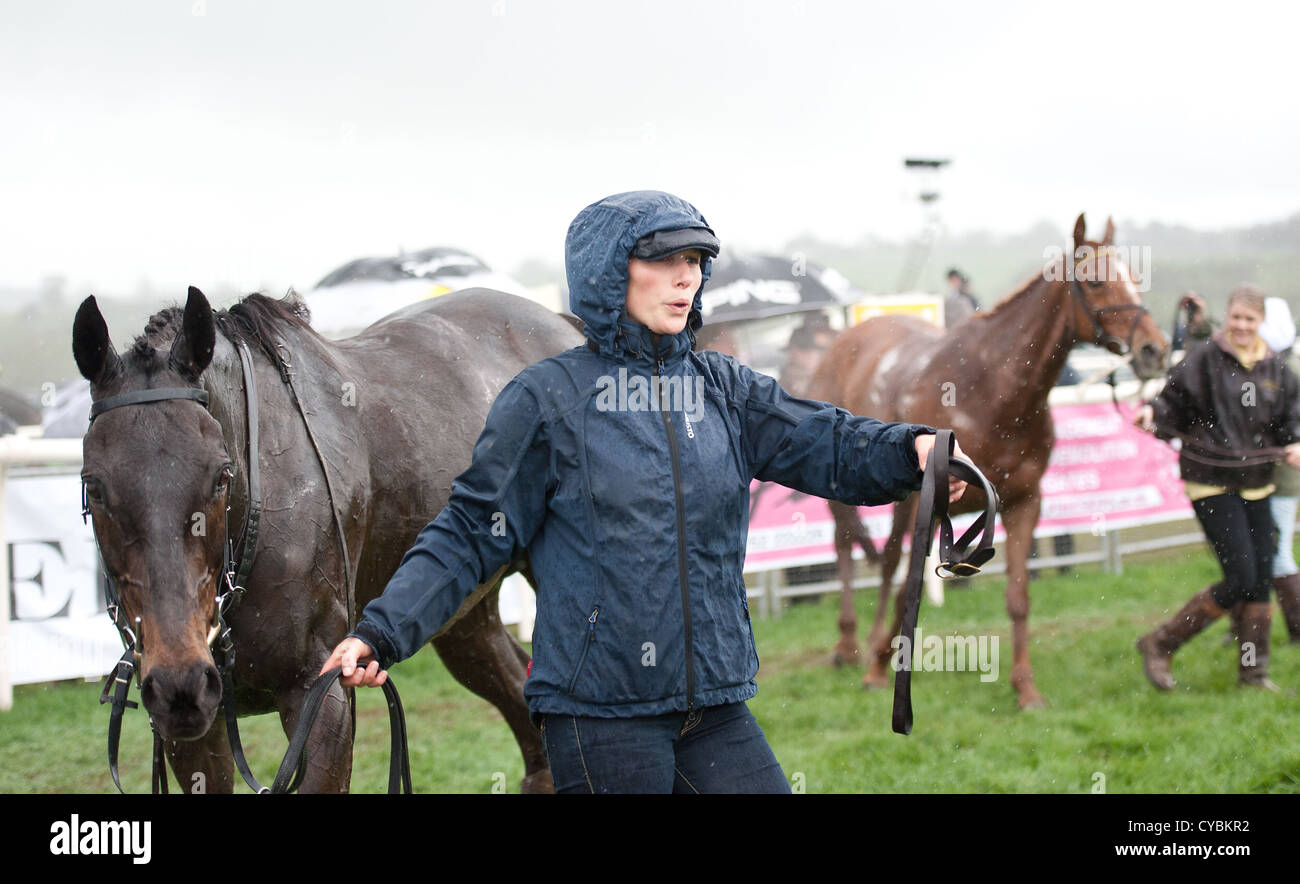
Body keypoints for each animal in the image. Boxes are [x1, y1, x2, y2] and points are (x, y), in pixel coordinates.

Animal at [71, 286, 579, 790]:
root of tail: (561, 324)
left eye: (220, 476)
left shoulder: (319, 694)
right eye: (93, 485)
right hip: (463, 615)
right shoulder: (193, 725)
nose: (182, 681)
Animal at [811, 215, 1170, 712]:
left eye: (1135, 277)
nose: (1156, 349)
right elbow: (906, 586)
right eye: (1096, 281)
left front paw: (1026, 689)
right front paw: (880, 665)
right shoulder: (928, 502)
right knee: (858, 549)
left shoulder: (1023, 502)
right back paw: (854, 649)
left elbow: (1018, 596)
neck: (991, 389)